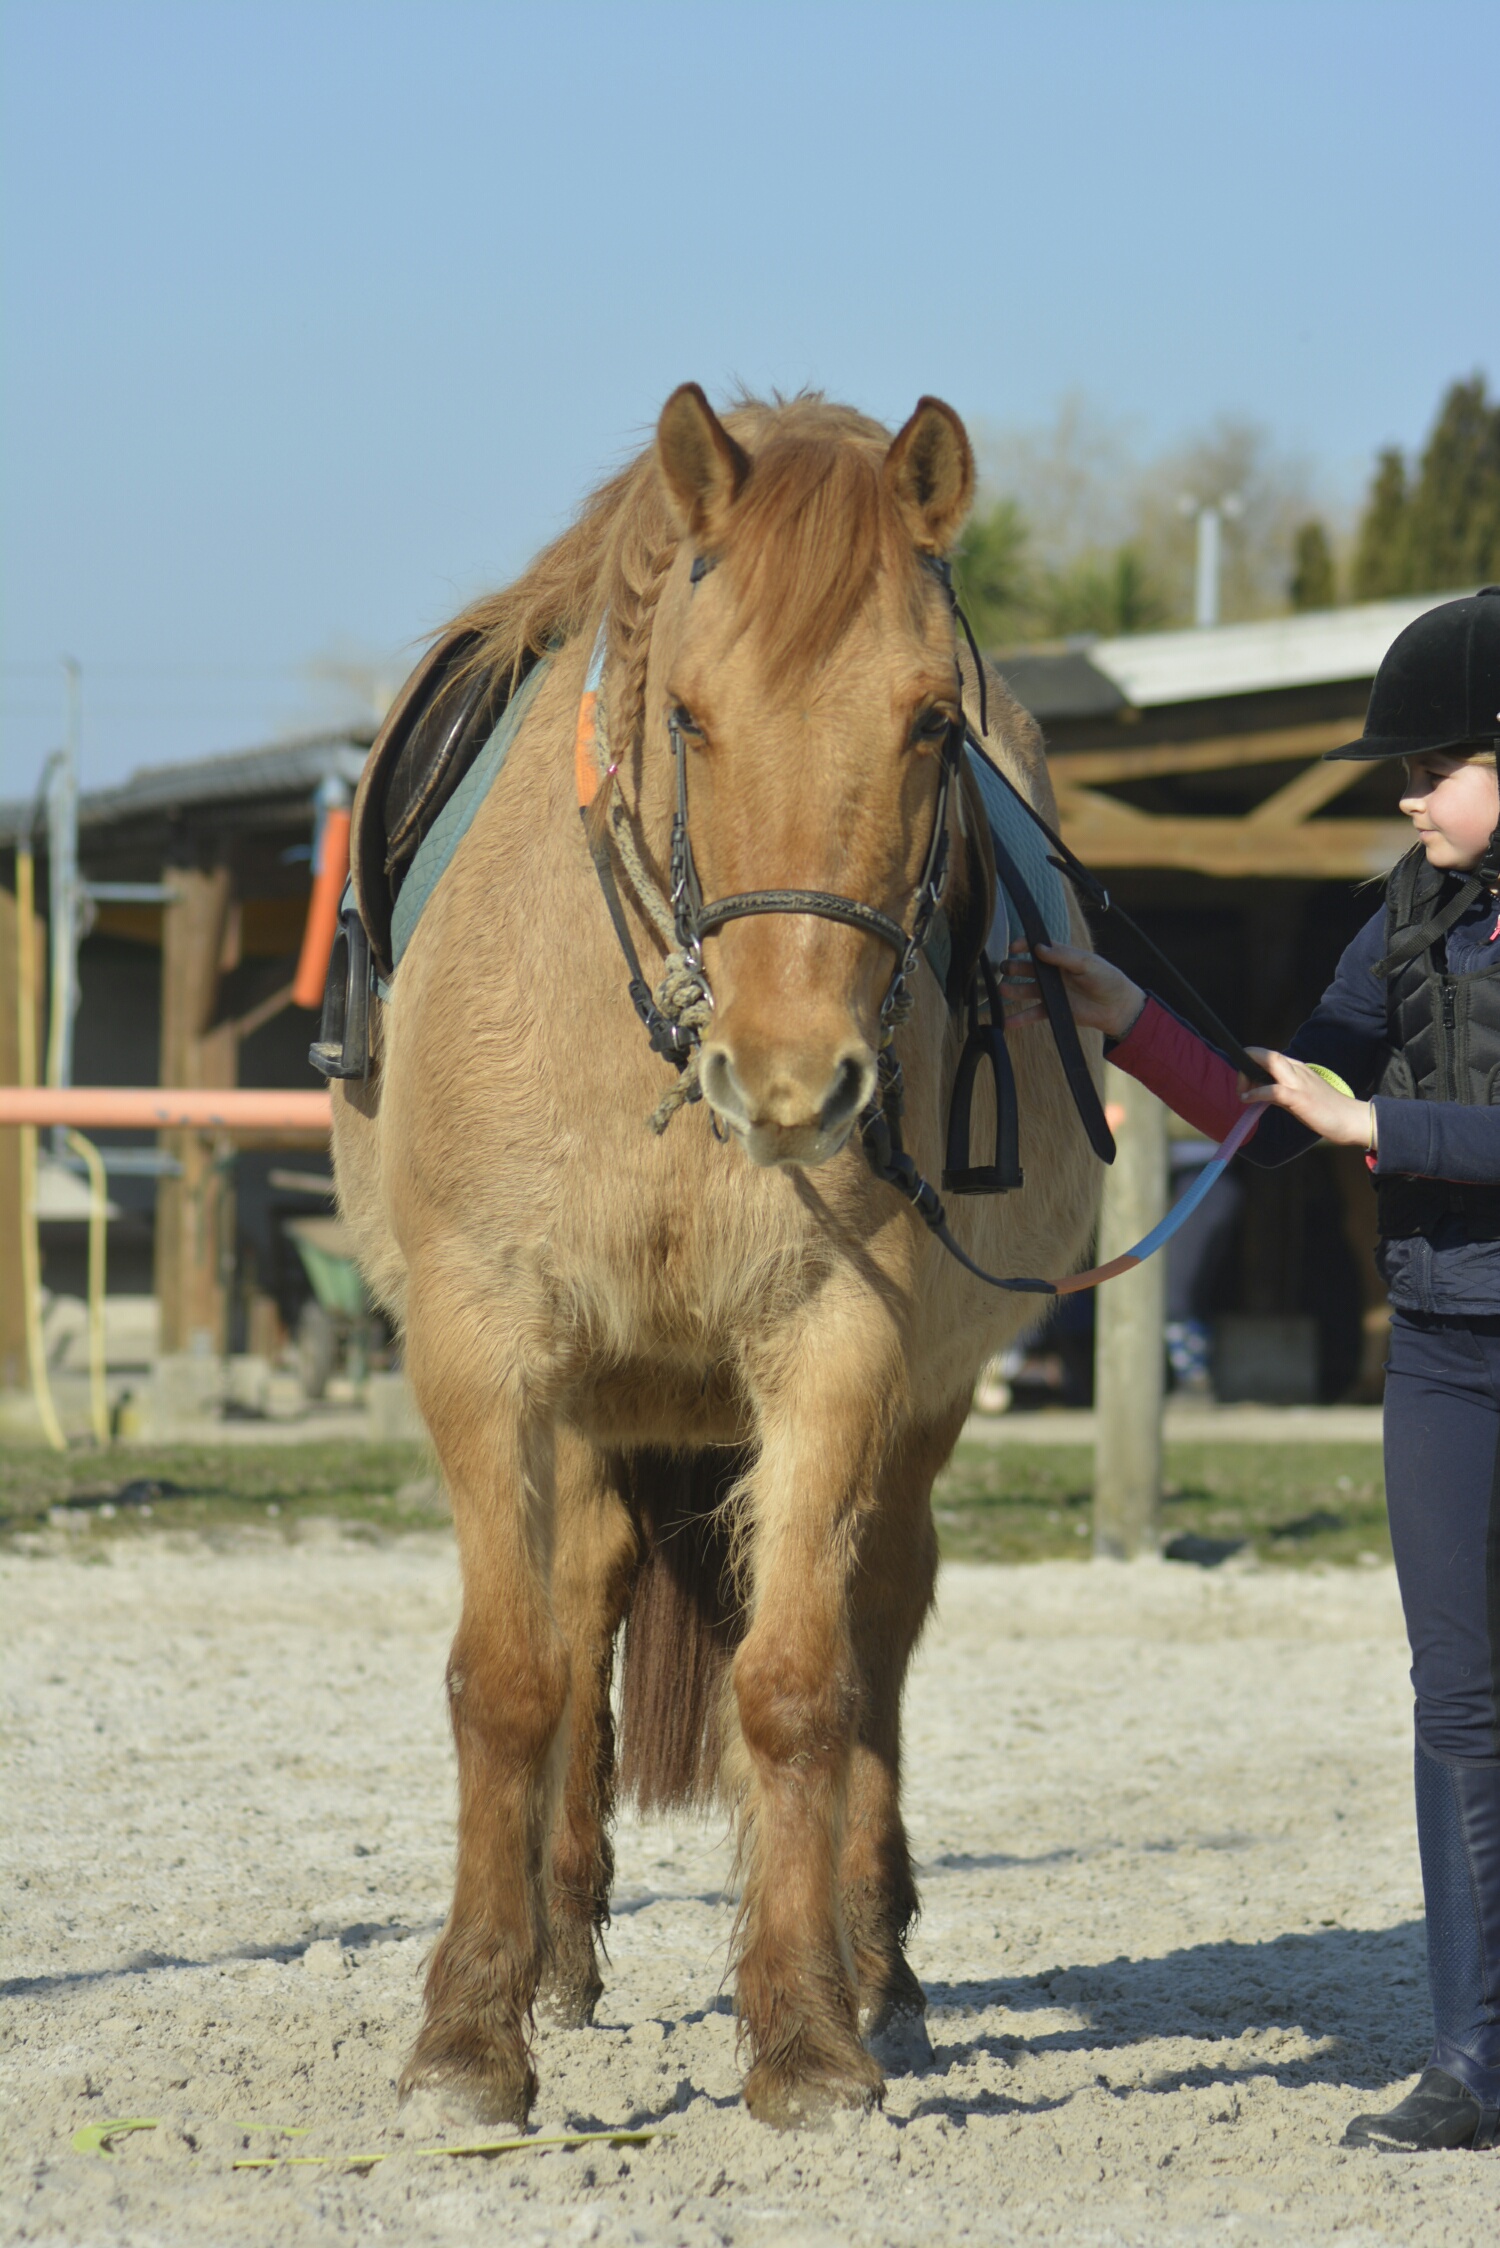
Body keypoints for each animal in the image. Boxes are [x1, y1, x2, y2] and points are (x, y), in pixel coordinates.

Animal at [330, 385, 1102, 2128]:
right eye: (686, 718)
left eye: (930, 726)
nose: (798, 1082)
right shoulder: (487, 1345)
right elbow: (512, 1678)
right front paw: (470, 2034)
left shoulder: (840, 1351)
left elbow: (801, 1683)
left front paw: (807, 2034)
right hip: (593, 1407)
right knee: (579, 1612)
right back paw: (554, 1953)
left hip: (911, 1416)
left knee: (877, 1625)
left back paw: (881, 1972)